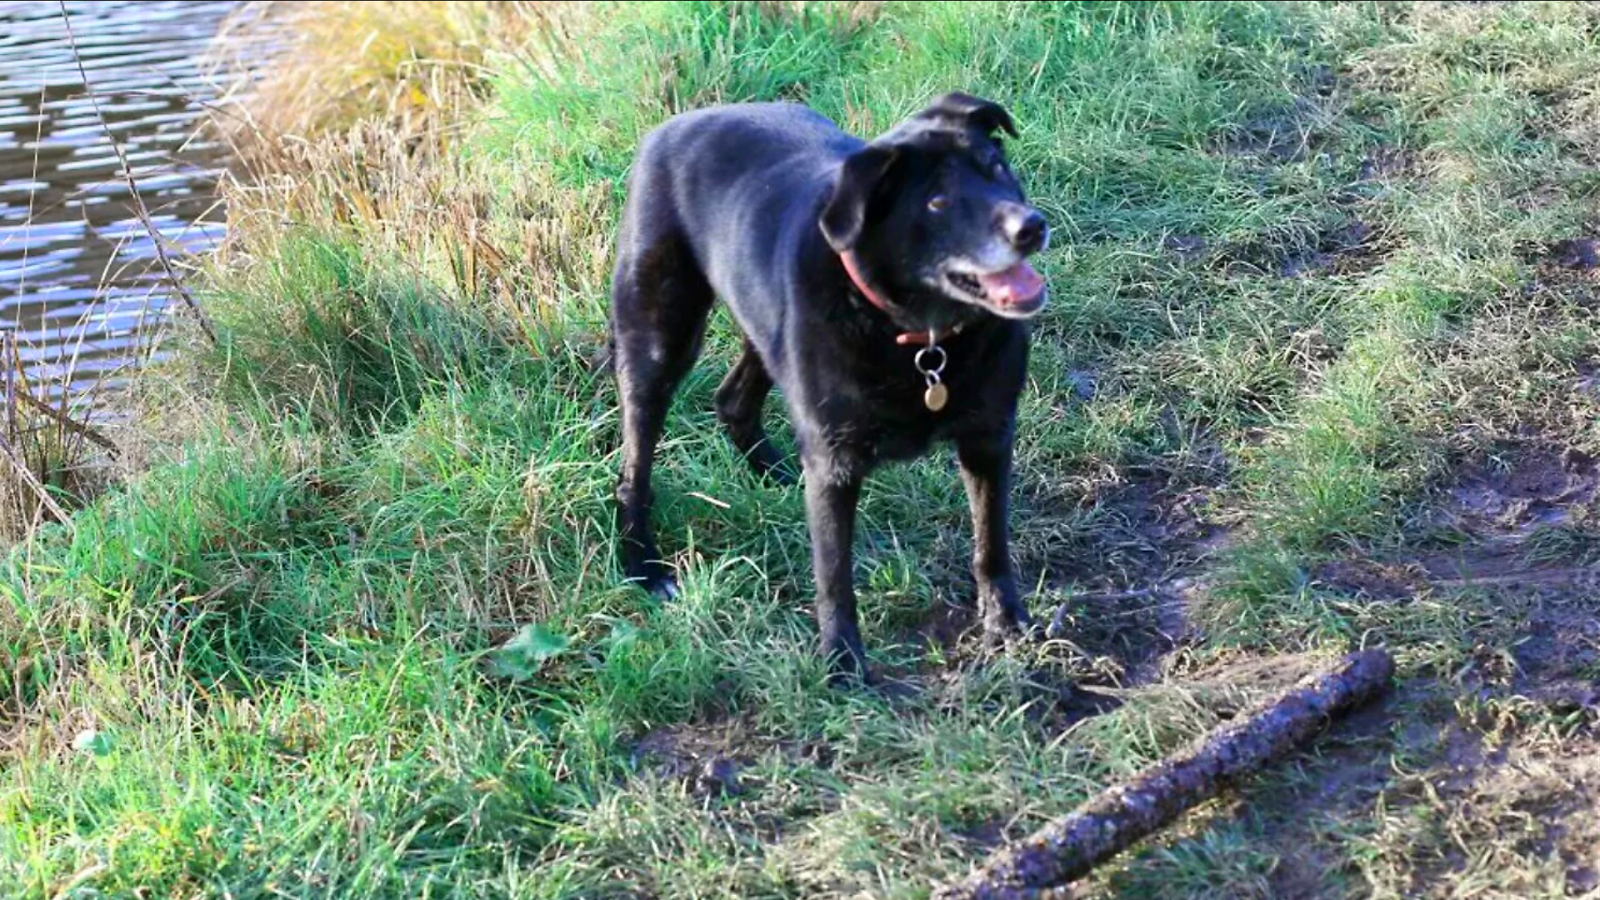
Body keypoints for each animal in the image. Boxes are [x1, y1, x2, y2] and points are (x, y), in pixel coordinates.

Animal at [608, 92, 1049, 681]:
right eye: (936, 202)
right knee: (634, 468)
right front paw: (842, 663)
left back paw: (773, 469)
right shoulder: (835, 464)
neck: (921, 339)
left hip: (764, 327)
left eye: (996, 167)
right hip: (658, 342)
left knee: (732, 401)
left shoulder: (989, 436)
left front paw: (1006, 623)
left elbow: (991, 543)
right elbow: (835, 575)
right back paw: (643, 564)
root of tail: (668, 128)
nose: (1032, 227)